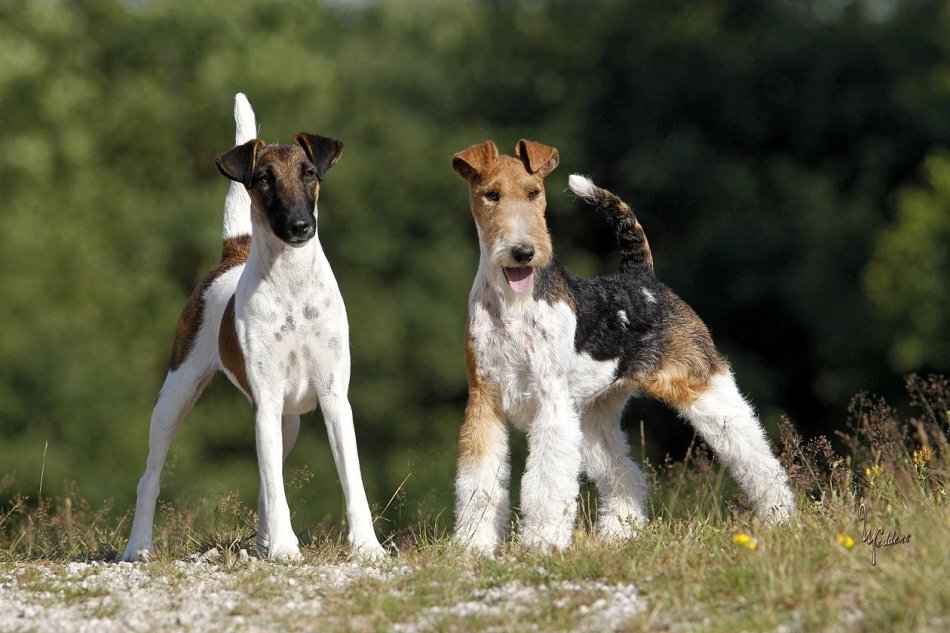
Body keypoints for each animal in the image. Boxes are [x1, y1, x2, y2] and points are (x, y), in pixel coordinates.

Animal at [454, 139, 796, 552]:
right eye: (491, 195)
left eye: (534, 193)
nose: (523, 252)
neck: (512, 302)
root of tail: (643, 278)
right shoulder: (484, 402)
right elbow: (479, 484)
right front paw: (473, 548)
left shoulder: (551, 405)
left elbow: (545, 486)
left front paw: (542, 544)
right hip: (594, 414)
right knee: (625, 476)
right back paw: (620, 533)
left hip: (703, 386)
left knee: (758, 457)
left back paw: (780, 517)